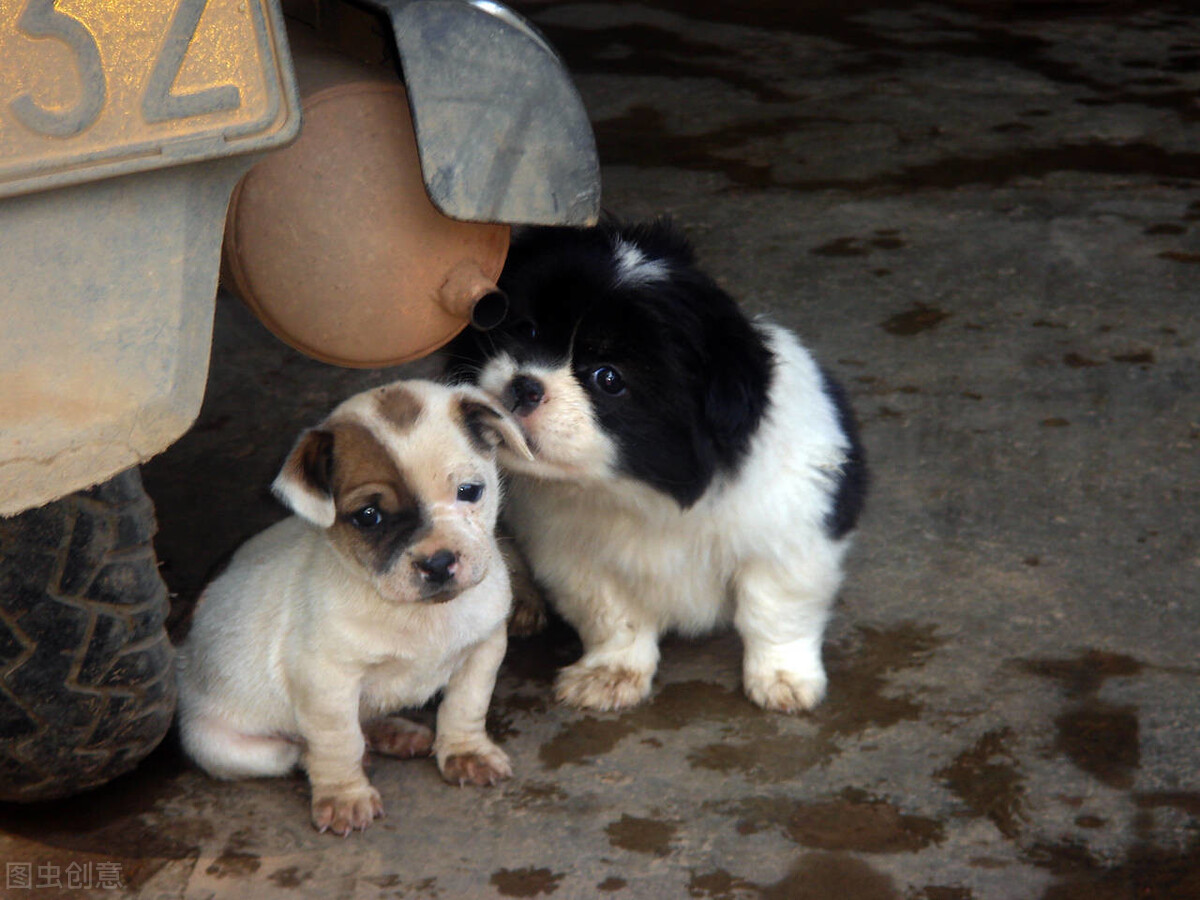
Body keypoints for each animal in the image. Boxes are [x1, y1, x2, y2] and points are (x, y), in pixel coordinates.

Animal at [176, 381, 530, 840]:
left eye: (470, 491)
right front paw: (344, 795)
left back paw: (393, 731)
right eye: (368, 517)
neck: (416, 612)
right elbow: (338, 742)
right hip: (227, 747)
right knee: (300, 752)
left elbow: (466, 705)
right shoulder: (327, 685)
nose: (438, 563)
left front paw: (465, 751)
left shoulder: (483, 649)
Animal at [446, 222, 868, 715]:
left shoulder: (791, 539)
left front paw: (784, 678)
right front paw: (612, 673)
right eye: (524, 329)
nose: (525, 386)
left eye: (609, 379)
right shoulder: (577, 559)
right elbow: (613, 616)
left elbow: (775, 610)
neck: (639, 491)